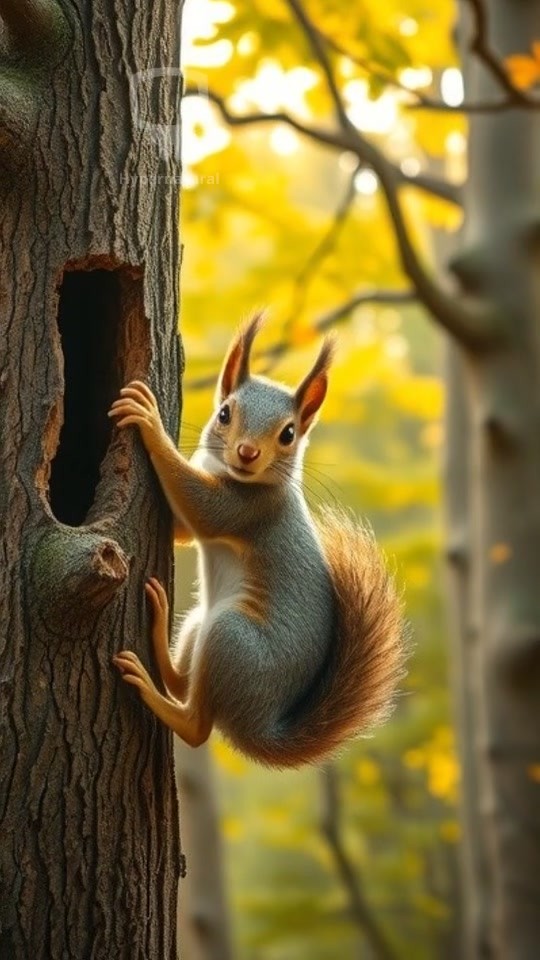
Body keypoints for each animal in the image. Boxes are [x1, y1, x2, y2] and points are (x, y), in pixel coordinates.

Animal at [109, 313, 406, 767]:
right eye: (224, 413)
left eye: (288, 434)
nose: (247, 453)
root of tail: (258, 725)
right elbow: (184, 530)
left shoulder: (248, 510)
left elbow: (202, 509)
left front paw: (151, 424)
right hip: (200, 626)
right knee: (183, 682)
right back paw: (159, 627)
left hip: (231, 639)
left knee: (197, 727)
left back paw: (146, 684)